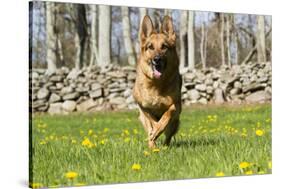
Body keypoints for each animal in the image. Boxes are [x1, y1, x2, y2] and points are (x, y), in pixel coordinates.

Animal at [133, 15, 182, 148]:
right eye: (150, 47)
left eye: (164, 46)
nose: (157, 59)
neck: (156, 84)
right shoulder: (143, 107)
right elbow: (151, 121)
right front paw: (154, 131)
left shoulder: (176, 105)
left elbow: (167, 114)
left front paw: (158, 129)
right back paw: (152, 147)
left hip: (174, 123)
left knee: (168, 136)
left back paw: (164, 146)